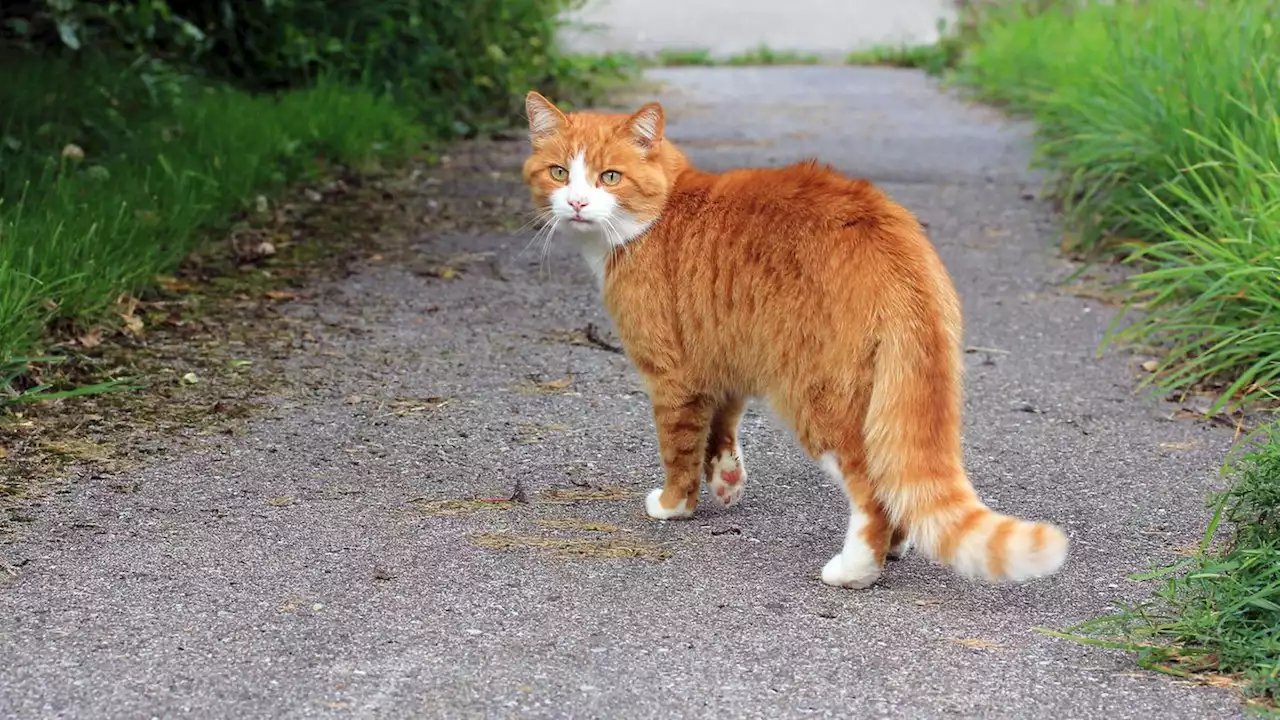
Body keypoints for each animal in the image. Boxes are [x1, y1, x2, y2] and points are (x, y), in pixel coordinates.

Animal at [519, 89, 1070, 586]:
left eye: (609, 176)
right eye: (559, 173)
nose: (577, 202)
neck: (662, 209)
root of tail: (893, 240)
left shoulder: (672, 375)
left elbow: (679, 447)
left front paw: (675, 504)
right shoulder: (725, 349)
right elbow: (722, 424)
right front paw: (726, 480)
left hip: (818, 397)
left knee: (871, 491)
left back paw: (856, 570)